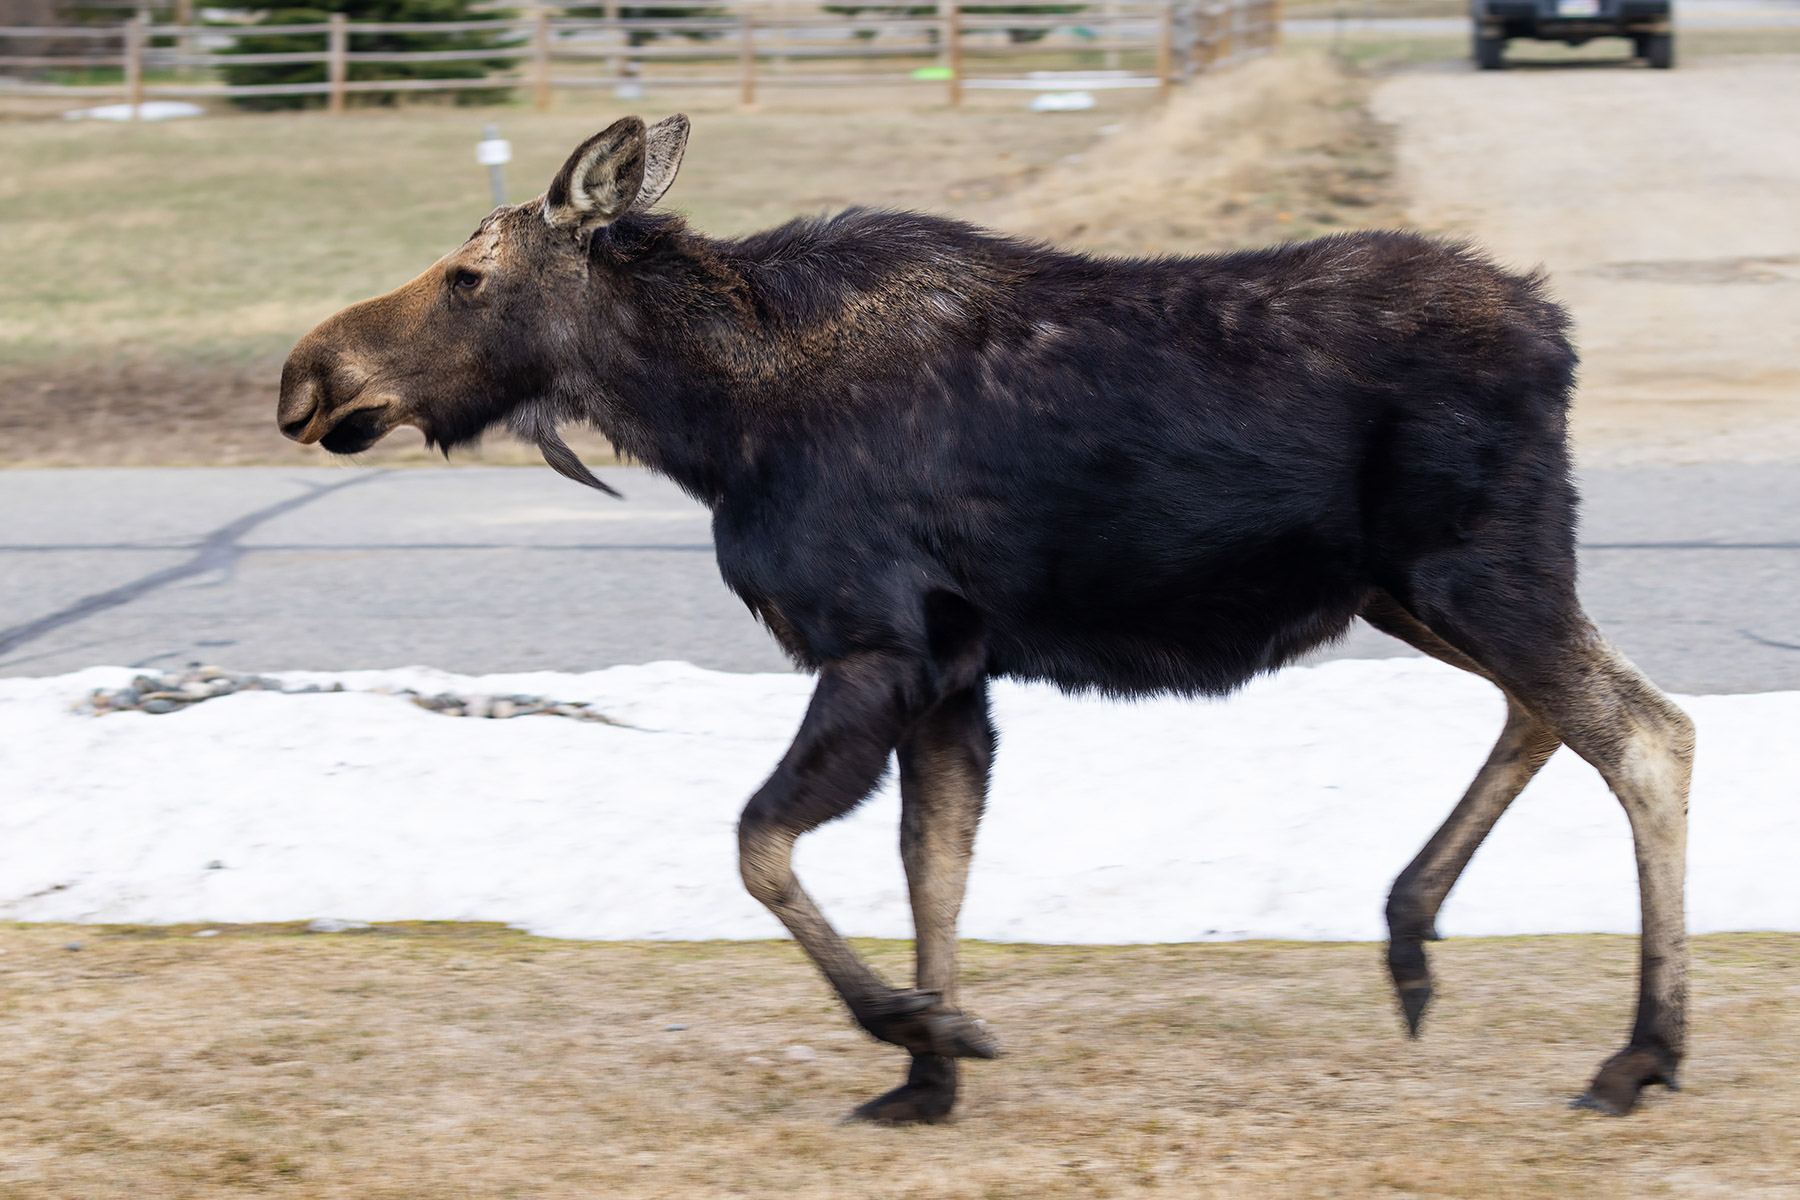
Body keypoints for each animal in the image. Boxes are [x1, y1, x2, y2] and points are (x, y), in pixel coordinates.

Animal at [277, 114, 1694, 1123]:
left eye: (470, 276)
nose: (306, 378)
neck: (712, 425)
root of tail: (1558, 333)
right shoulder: (957, 669)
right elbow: (934, 860)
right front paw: (926, 1076)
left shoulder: (878, 645)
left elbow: (762, 845)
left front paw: (920, 1027)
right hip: (1415, 588)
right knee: (1558, 711)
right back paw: (1413, 938)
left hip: (1479, 570)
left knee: (1645, 731)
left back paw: (1639, 1051)